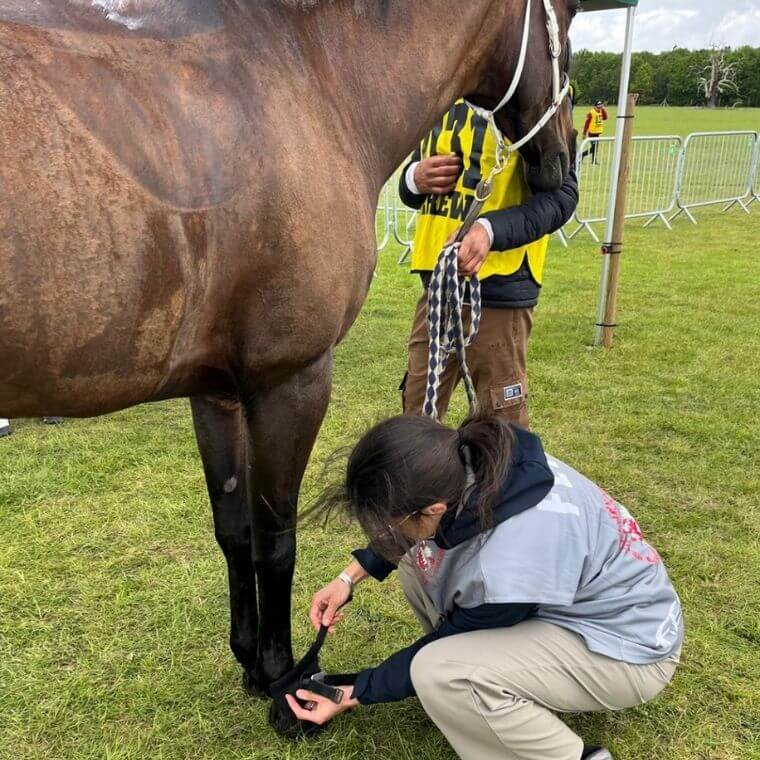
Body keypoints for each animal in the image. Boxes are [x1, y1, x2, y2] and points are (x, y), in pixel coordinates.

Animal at [0, 0, 576, 733]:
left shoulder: (217, 395)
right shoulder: (290, 383)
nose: (561, 159)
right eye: (570, 18)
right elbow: (276, 540)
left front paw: (250, 661)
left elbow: (234, 530)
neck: (310, 75)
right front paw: (282, 684)